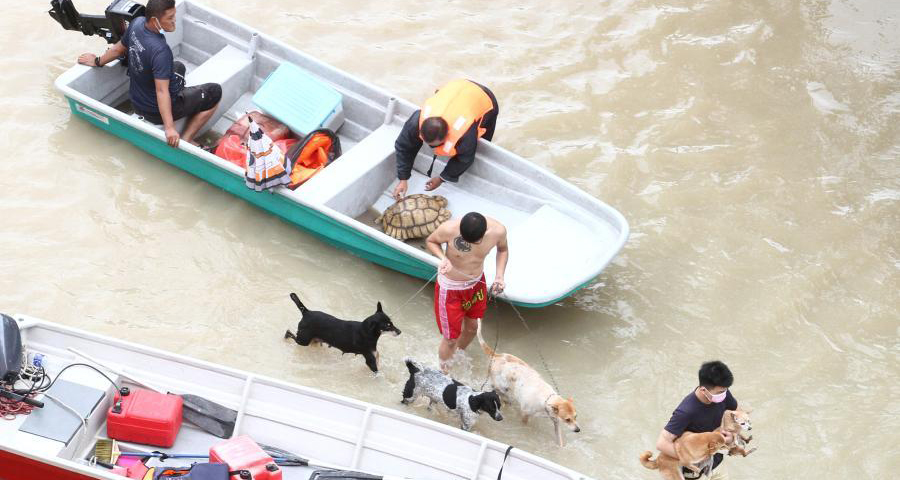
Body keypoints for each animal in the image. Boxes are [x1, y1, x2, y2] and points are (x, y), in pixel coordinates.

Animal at [474, 318, 580, 446]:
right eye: (567, 419)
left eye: (576, 417)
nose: (578, 430)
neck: (546, 399)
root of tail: (497, 355)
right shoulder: (525, 414)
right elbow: (525, 425)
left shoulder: (556, 421)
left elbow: (559, 439)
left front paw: (561, 448)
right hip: (500, 387)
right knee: (500, 393)